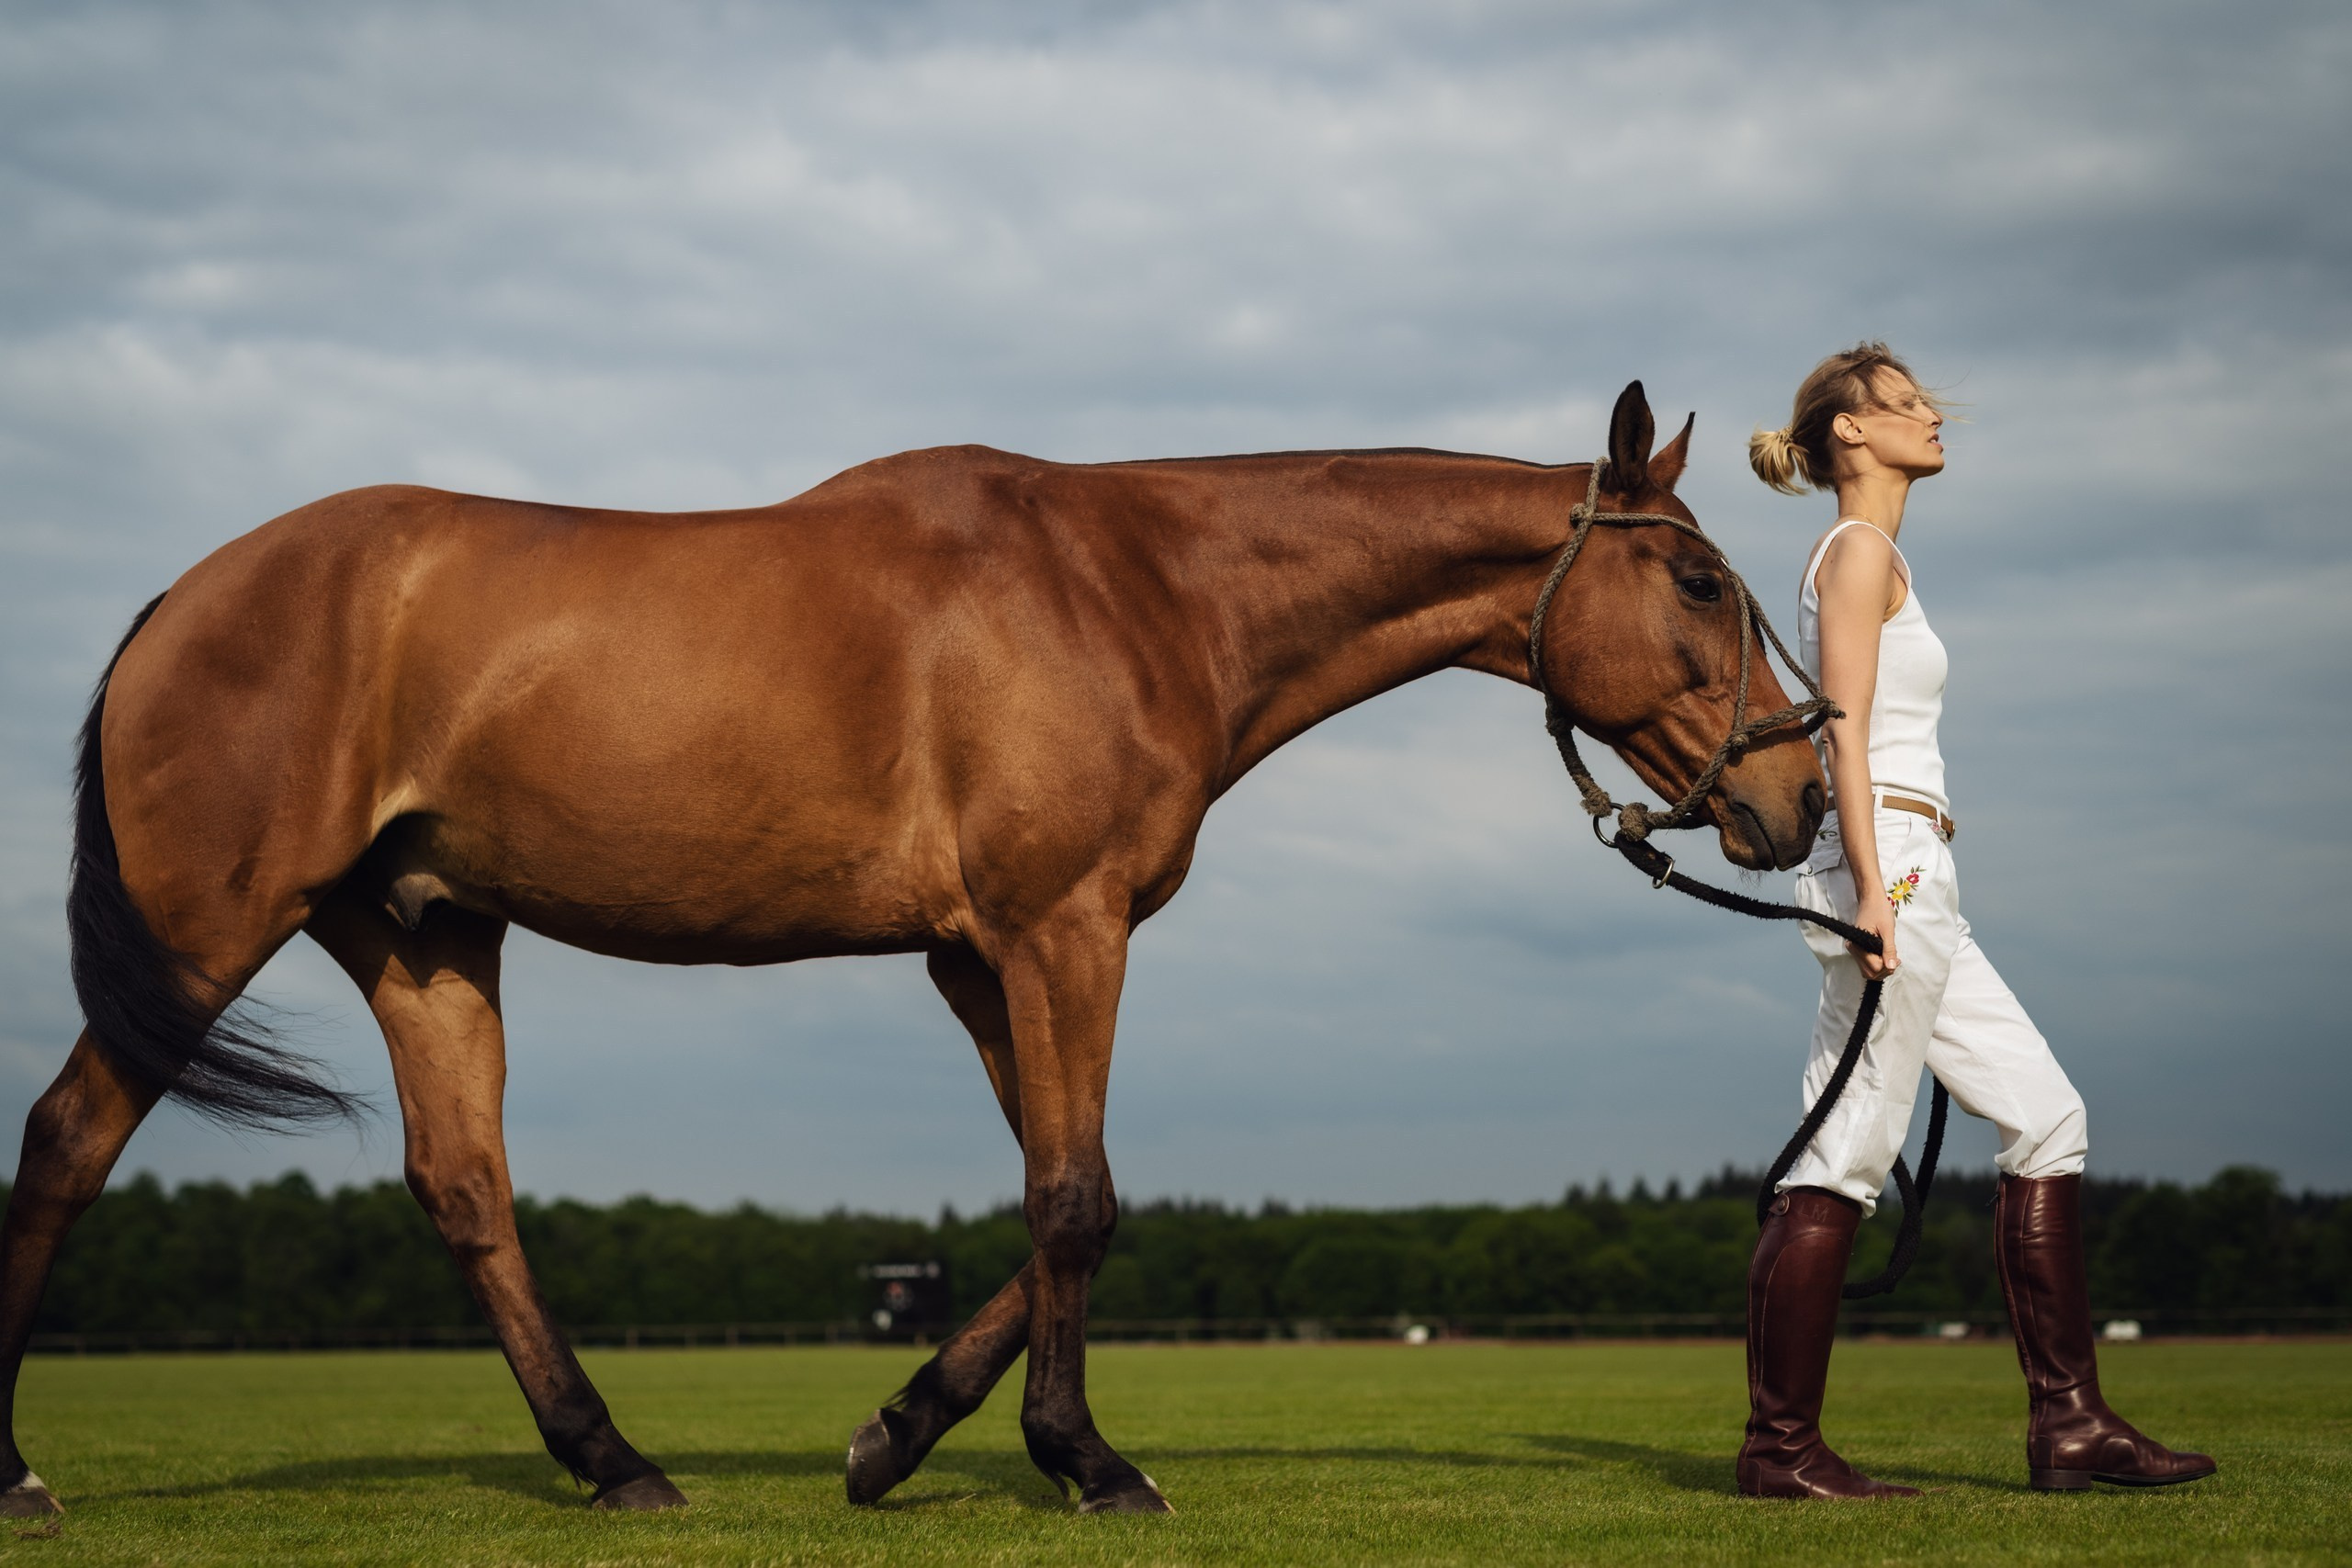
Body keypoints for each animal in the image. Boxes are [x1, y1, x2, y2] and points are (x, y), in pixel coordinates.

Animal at [0, 380, 1824, 1517]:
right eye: (1698, 578)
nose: (1798, 793)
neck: (1136, 586)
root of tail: (182, 598)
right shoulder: (1058, 928)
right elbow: (1076, 1199)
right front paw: (1084, 1460)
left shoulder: (977, 956)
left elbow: (1067, 1199)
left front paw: (893, 1434)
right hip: (212, 926)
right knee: (69, 1139)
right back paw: (21, 1467)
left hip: (425, 935)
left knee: (464, 1189)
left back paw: (614, 1459)